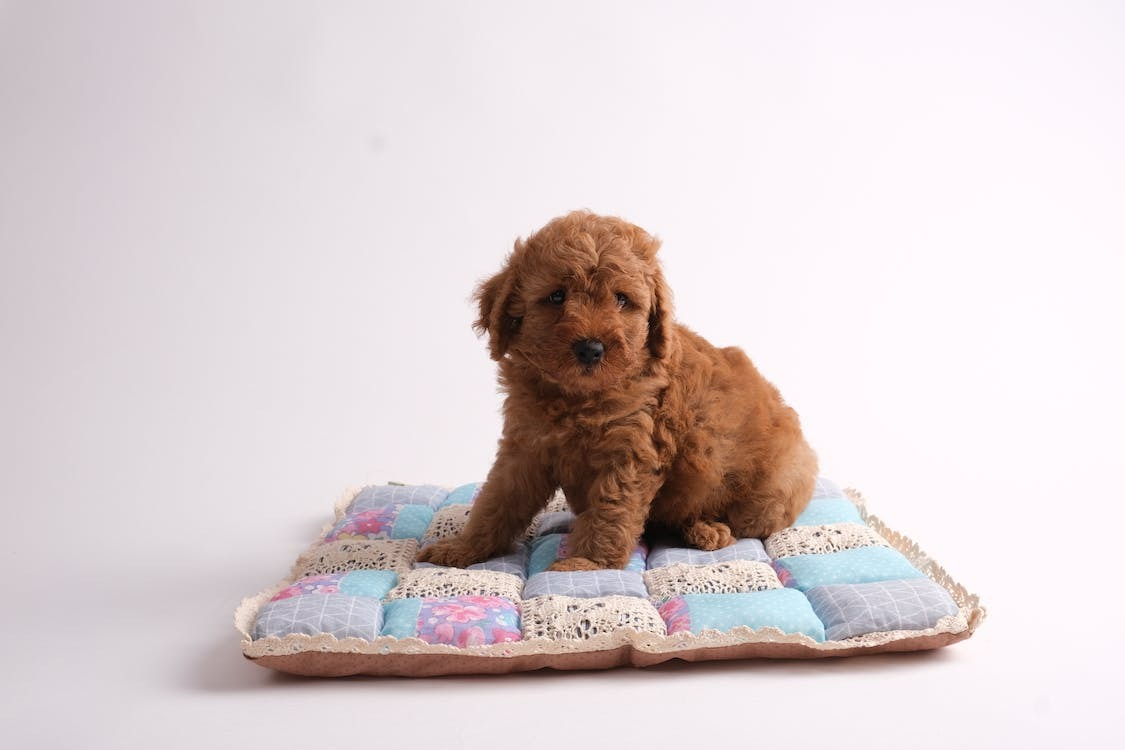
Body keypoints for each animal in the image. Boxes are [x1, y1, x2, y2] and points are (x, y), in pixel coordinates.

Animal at [418, 211, 814, 568]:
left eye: (622, 300)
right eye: (557, 296)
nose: (591, 348)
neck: (577, 397)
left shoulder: (631, 451)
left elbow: (612, 509)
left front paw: (587, 563)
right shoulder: (526, 445)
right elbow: (497, 499)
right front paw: (464, 548)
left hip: (771, 490)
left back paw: (707, 528)